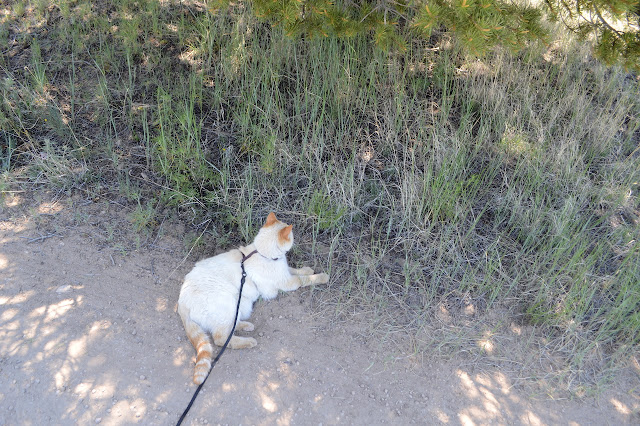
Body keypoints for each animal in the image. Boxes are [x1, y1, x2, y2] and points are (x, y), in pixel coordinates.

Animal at [179, 211, 330, 384]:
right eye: (291, 236)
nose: (295, 239)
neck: (262, 253)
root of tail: (181, 302)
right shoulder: (287, 283)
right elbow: (303, 279)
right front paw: (322, 277)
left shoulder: (285, 272)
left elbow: (295, 270)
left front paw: (306, 269)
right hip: (229, 303)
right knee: (220, 338)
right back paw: (249, 341)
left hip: (241, 305)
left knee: (231, 326)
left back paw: (247, 326)